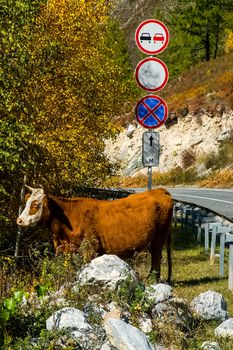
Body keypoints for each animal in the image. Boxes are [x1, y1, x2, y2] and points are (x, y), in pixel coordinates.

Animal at [16, 186, 173, 282]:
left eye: (35, 205)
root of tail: (159, 190)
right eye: (26, 203)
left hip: (159, 237)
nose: (19, 220)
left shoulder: (90, 247)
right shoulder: (64, 247)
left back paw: (152, 279)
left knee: (156, 257)